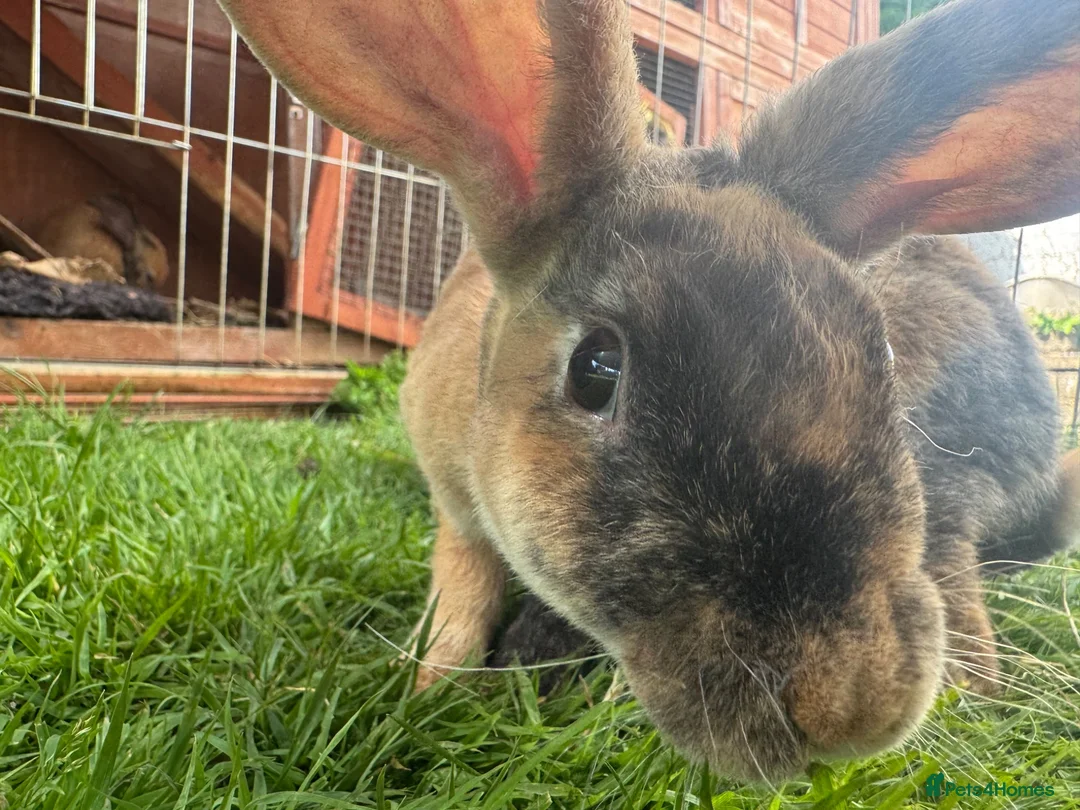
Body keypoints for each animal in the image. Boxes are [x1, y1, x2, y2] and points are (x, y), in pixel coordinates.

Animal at [218, 0, 1080, 783]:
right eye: (596, 369)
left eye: (886, 356)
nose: (848, 708)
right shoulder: (454, 505)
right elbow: (459, 593)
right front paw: (426, 685)